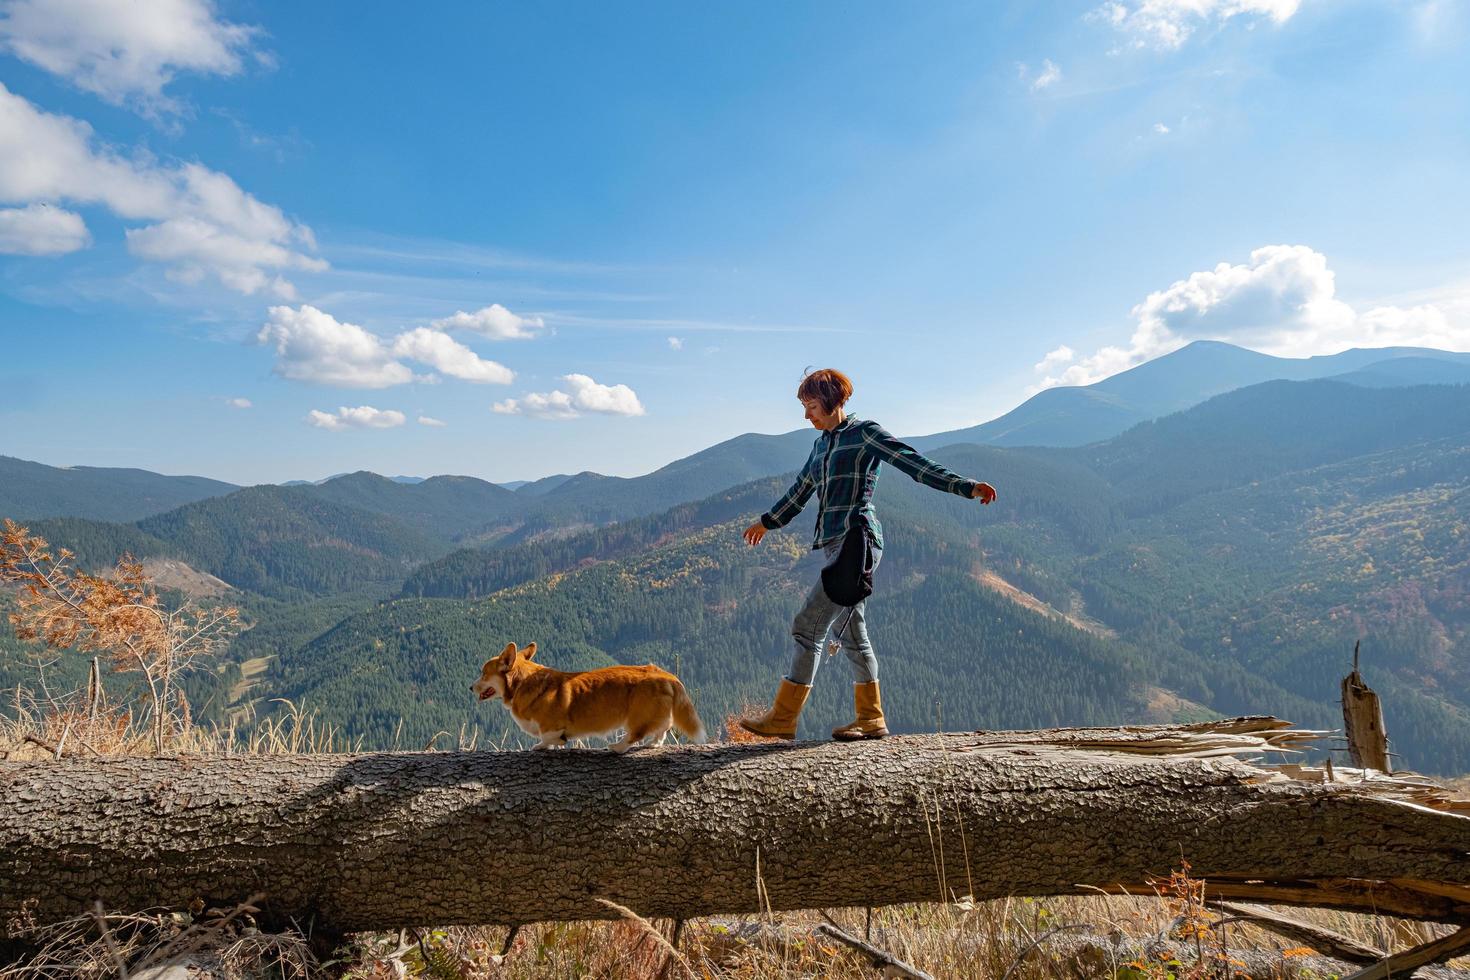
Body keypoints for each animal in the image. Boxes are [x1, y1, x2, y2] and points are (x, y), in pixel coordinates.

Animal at [470, 640, 699, 758]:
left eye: (483, 674)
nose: (470, 687)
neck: (522, 683)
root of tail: (666, 675)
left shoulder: (551, 727)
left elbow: (548, 737)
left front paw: (541, 746)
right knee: (662, 729)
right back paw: (653, 743)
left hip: (638, 715)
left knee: (636, 734)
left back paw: (618, 747)